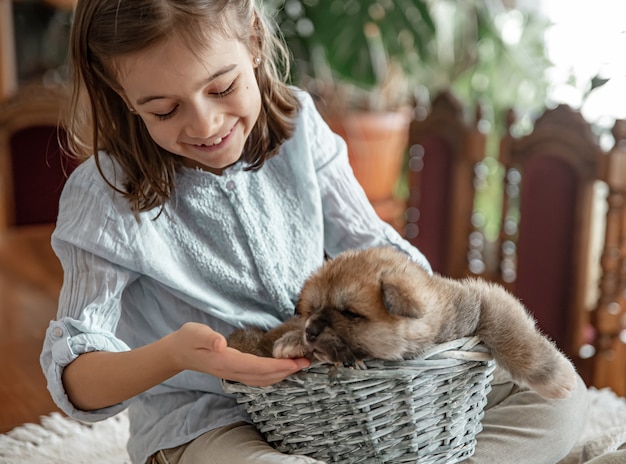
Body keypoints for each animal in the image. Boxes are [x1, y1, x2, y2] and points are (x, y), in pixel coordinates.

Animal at [228, 246, 576, 398]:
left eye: (350, 313)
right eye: (313, 309)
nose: (310, 330)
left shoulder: (484, 302)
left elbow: (517, 340)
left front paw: (557, 377)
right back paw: (285, 343)